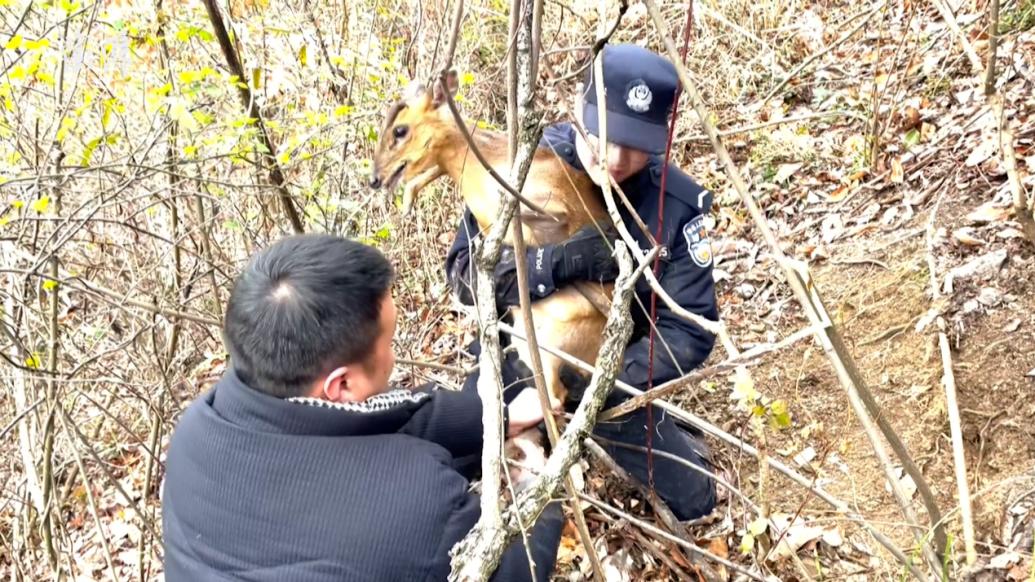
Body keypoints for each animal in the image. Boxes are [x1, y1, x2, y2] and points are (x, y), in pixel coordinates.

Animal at [372, 71, 612, 408]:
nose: (374, 179)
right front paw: (408, 202)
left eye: (400, 130)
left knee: (555, 398)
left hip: (553, 340)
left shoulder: (552, 203)